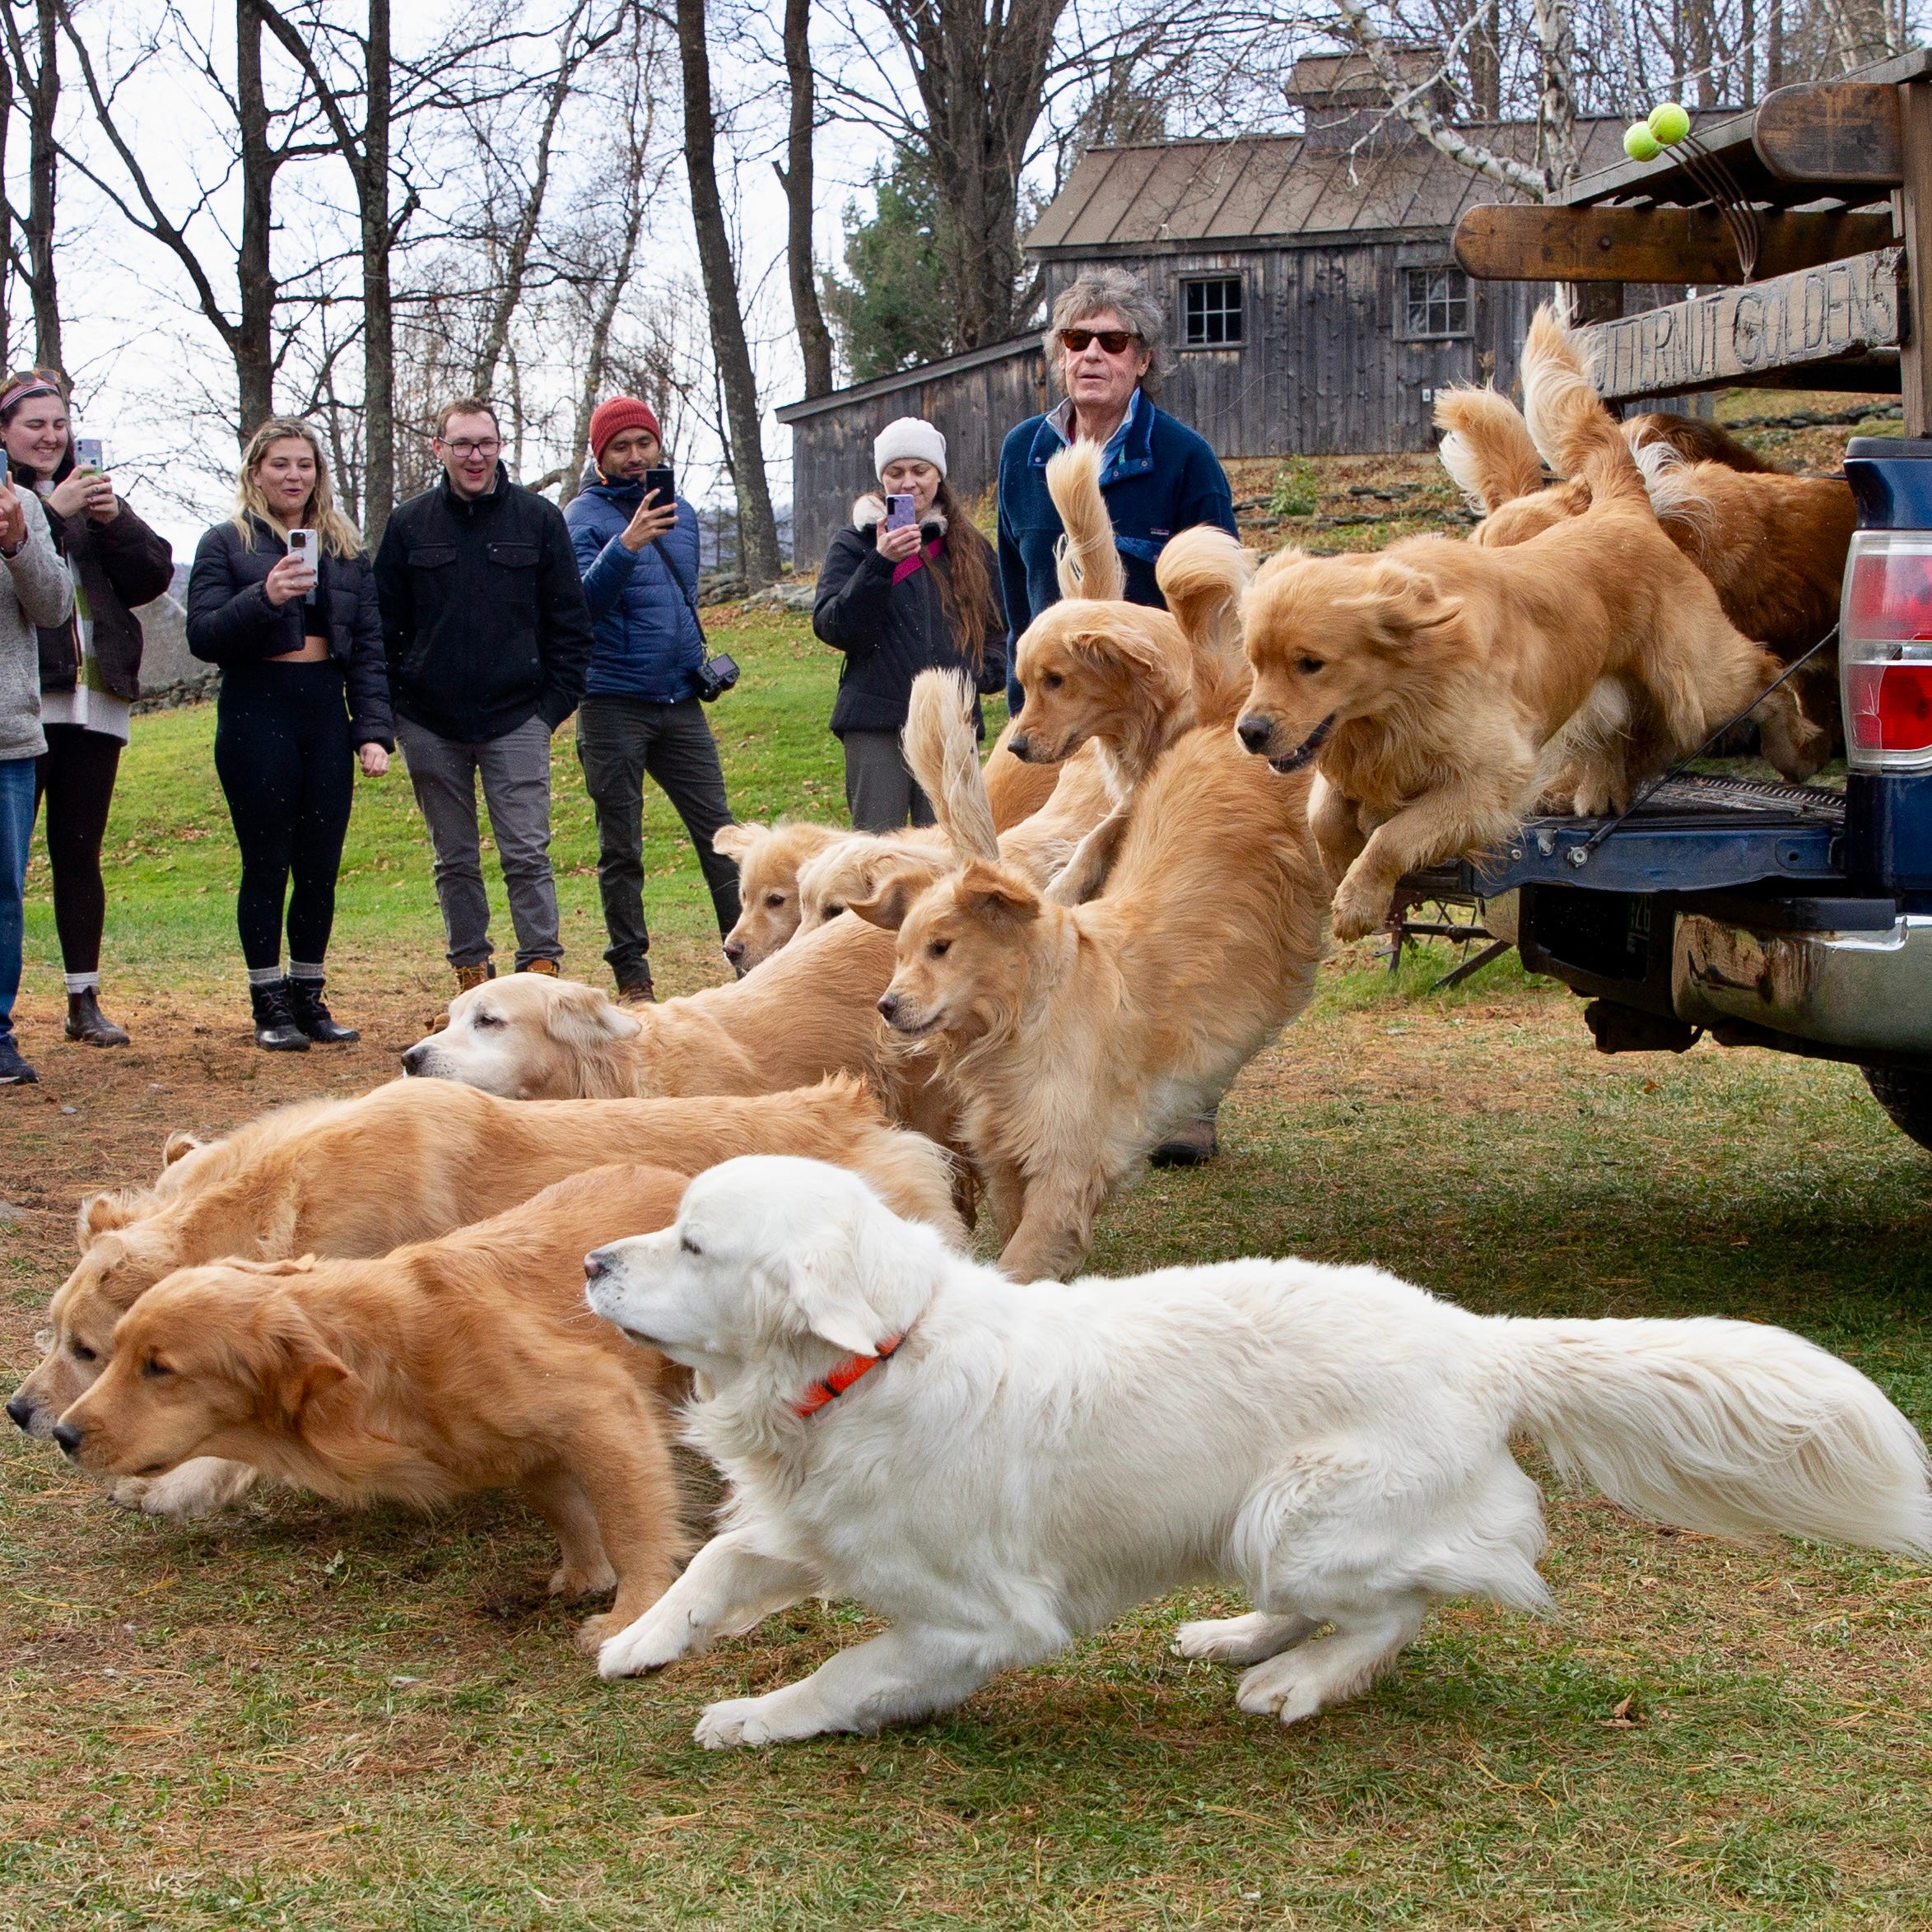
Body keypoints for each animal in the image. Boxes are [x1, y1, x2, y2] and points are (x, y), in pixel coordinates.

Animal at [50, 1159, 703, 1661]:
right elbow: (569, 1511)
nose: (61, 1432)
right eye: (112, 1351)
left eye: (158, 1367)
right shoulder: (527, 1451)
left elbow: (629, 1526)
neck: (379, 1362)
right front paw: (589, 1575)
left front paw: (632, 1615)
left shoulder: (600, 1405)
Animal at [580, 1159, 1932, 1754]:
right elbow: (717, 1569)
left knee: (1403, 1605)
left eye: (692, 1242)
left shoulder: (976, 1619)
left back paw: (1294, 1681)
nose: (591, 1259)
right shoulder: (812, 1523)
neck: (870, 1361)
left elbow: (849, 1671)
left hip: (1297, 1509)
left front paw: (750, 1714)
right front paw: (642, 1638)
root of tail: (1479, 1337)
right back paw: (1237, 1636)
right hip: (1258, 1522)